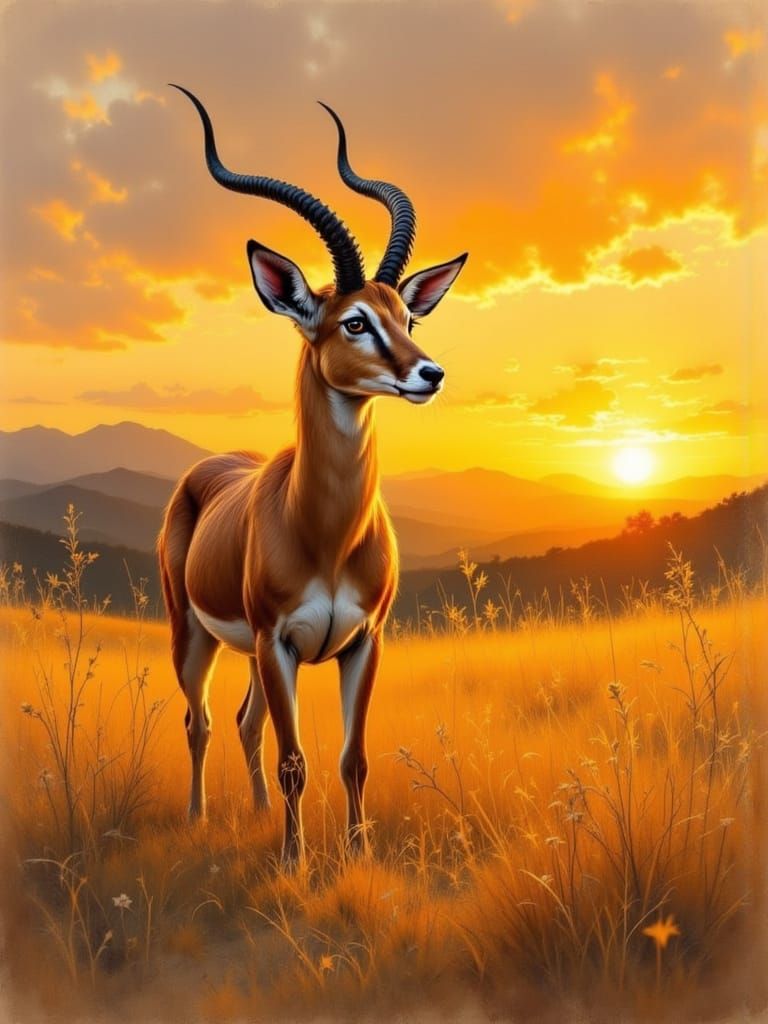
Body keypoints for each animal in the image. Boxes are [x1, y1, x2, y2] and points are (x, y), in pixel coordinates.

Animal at [158, 86, 467, 865]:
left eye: (408, 314)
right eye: (353, 321)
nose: (429, 373)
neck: (325, 534)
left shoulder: (364, 640)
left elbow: (352, 758)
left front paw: (355, 856)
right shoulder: (280, 641)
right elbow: (295, 760)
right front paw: (296, 863)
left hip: (253, 655)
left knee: (244, 720)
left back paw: (259, 815)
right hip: (195, 633)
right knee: (202, 722)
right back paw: (200, 818)